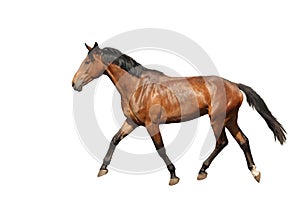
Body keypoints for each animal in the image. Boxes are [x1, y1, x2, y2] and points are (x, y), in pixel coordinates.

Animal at [72, 42, 286, 186]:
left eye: (88, 61)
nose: (74, 83)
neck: (138, 86)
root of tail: (234, 85)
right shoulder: (132, 121)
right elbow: (115, 139)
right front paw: (103, 169)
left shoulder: (151, 124)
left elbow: (160, 149)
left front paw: (173, 176)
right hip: (230, 119)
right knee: (243, 141)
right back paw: (255, 173)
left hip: (217, 119)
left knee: (222, 142)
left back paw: (202, 171)